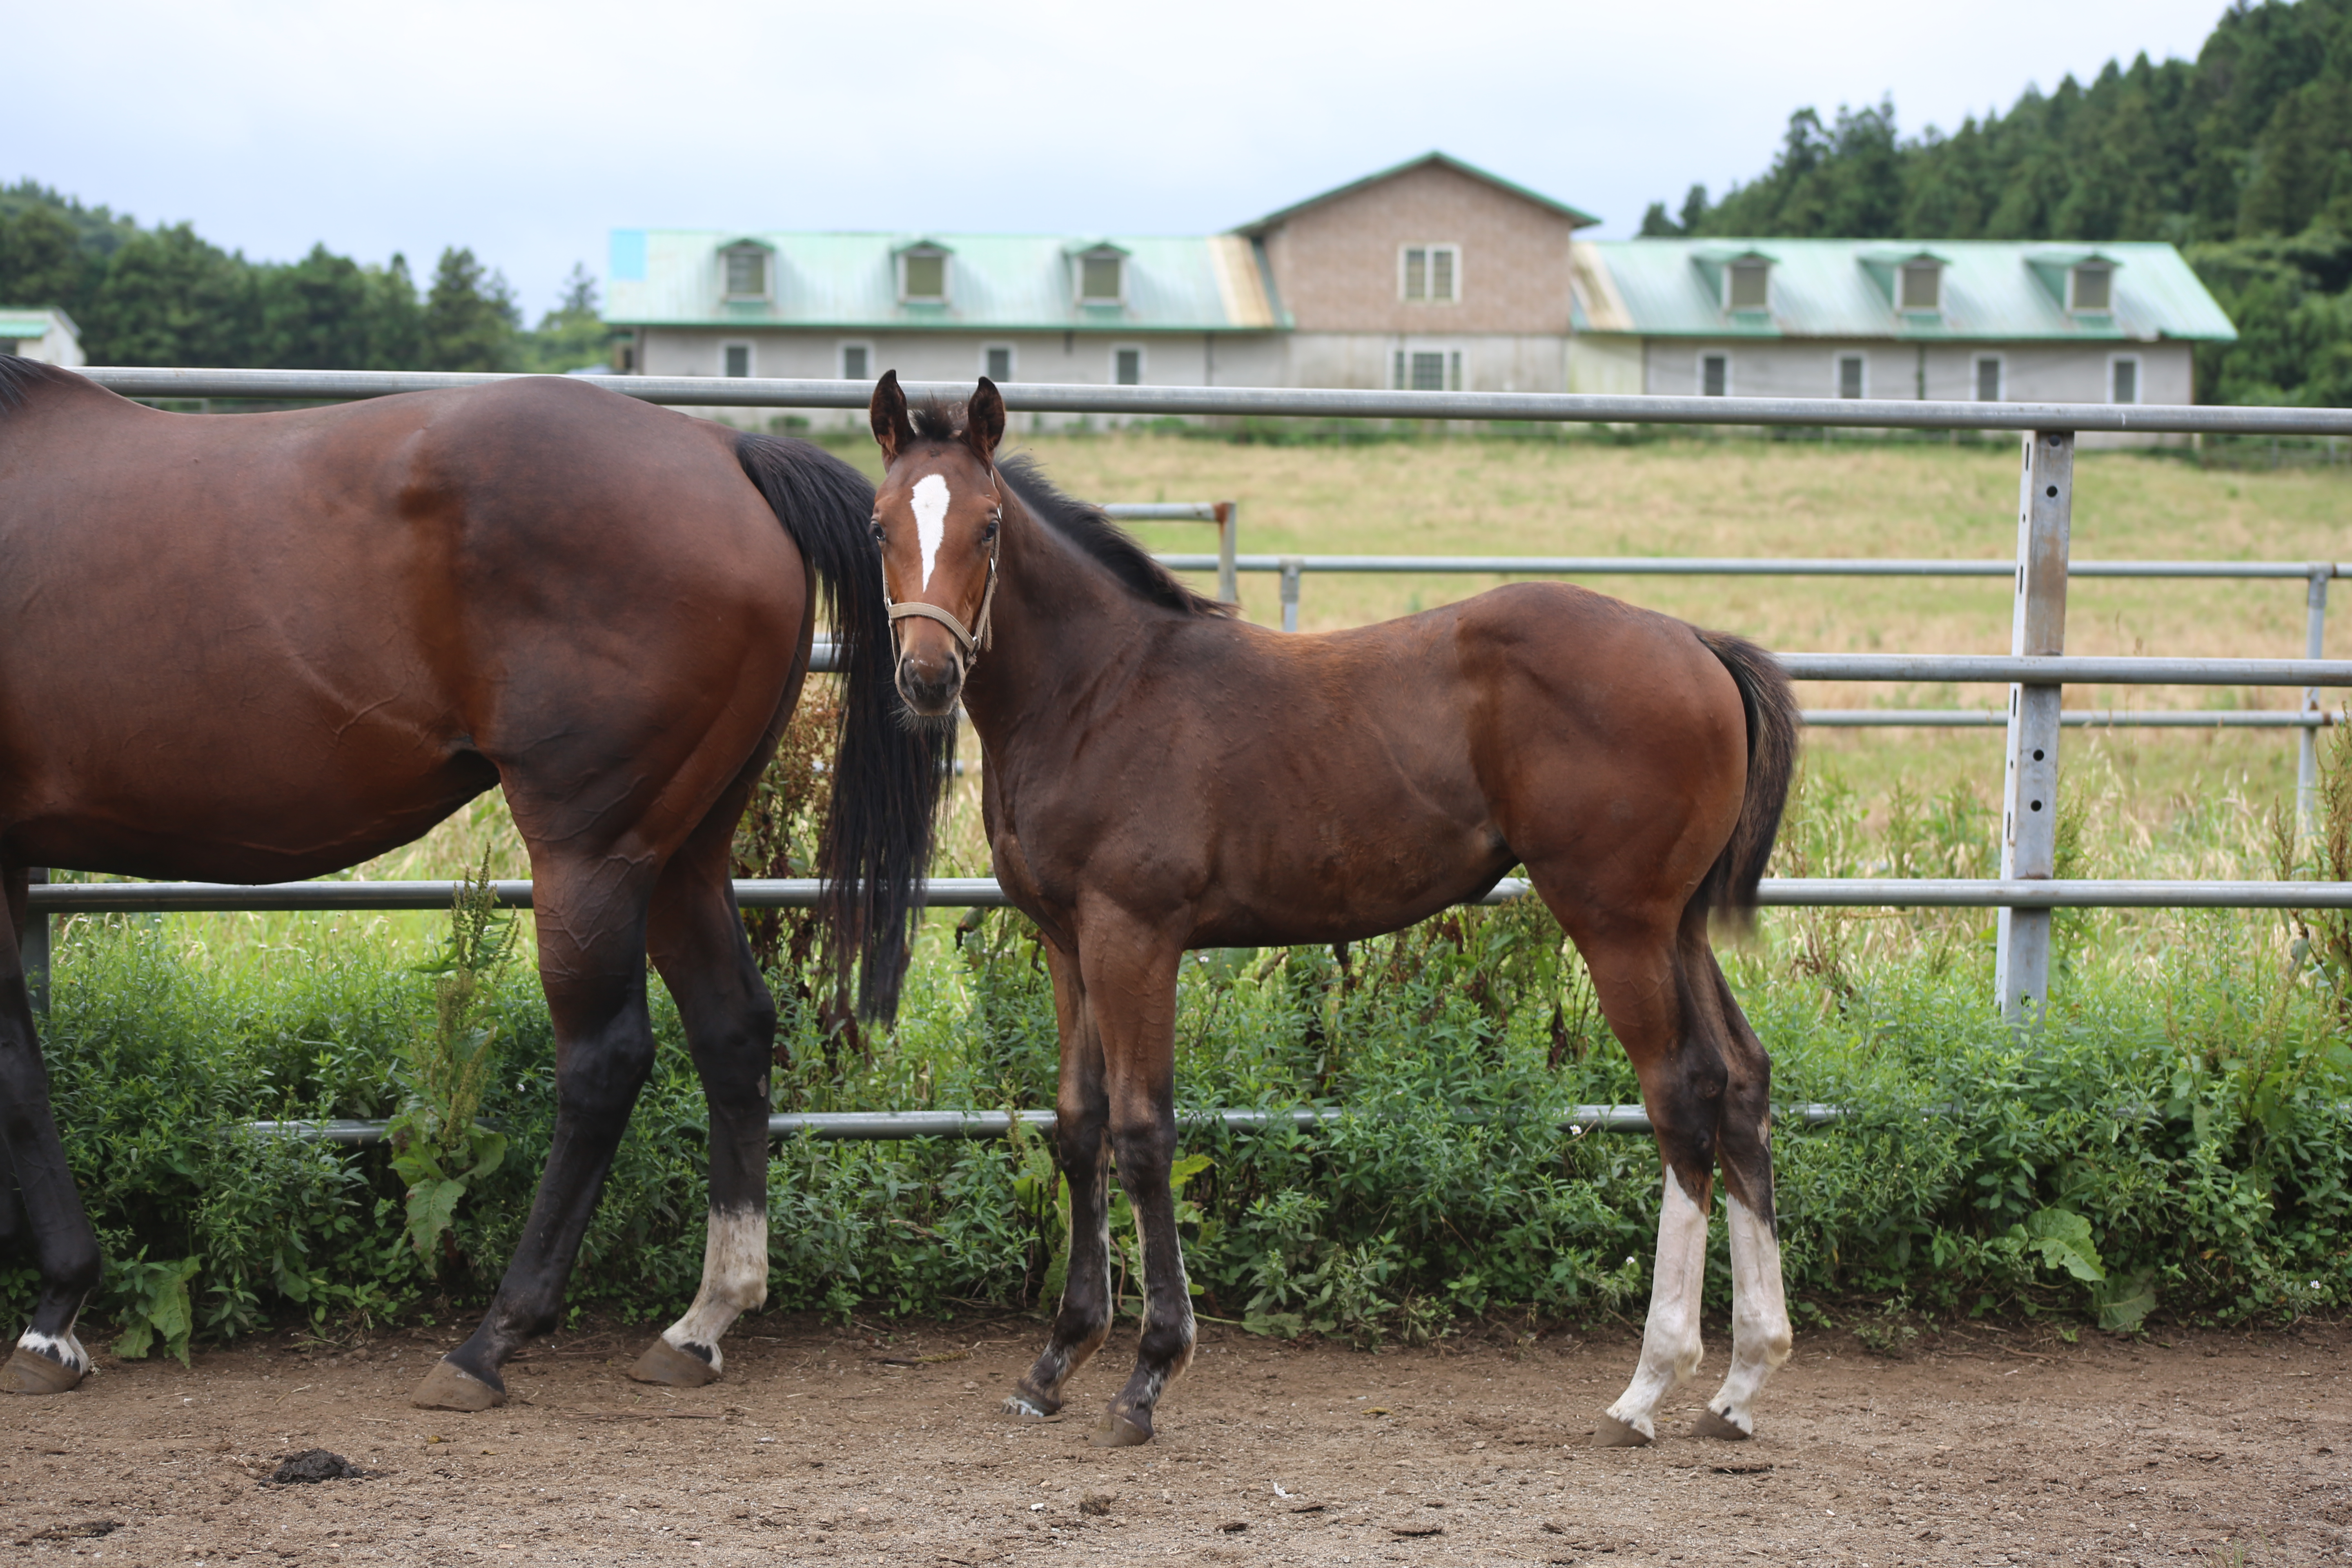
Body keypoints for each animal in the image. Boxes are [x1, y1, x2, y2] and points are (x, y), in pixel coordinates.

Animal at [865, 374, 1797, 1457]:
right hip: (1677, 926)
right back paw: (1740, 1381)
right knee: (1739, 1081)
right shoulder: (1067, 941)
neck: (1097, 691)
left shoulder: (1135, 937)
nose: (927, 677)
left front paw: (1149, 1374)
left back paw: (1649, 1385)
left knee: (1679, 1097)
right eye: (881, 521)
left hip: (1618, 925)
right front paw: (1055, 1360)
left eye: (987, 524)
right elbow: (1076, 1126)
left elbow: (1142, 1134)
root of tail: (1695, 642)